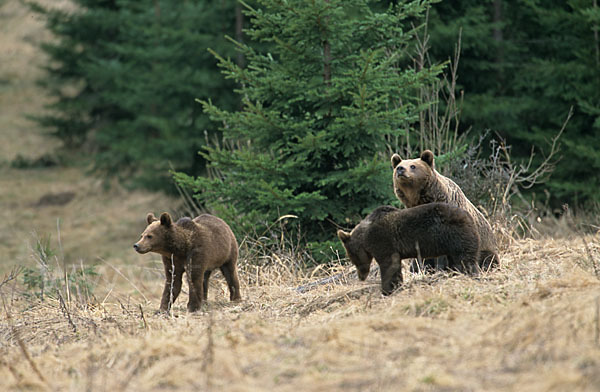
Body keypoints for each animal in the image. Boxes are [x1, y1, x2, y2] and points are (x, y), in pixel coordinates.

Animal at [338, 202, 478, 294]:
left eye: (352, 258)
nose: (361, 277)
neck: (365, 238)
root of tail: (469, 215)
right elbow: (395, 266)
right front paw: (397, 285)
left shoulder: (382, 241)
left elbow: (389, 265)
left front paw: (387, 289)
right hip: (451, 244)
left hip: (456, 235)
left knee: (465, 258)